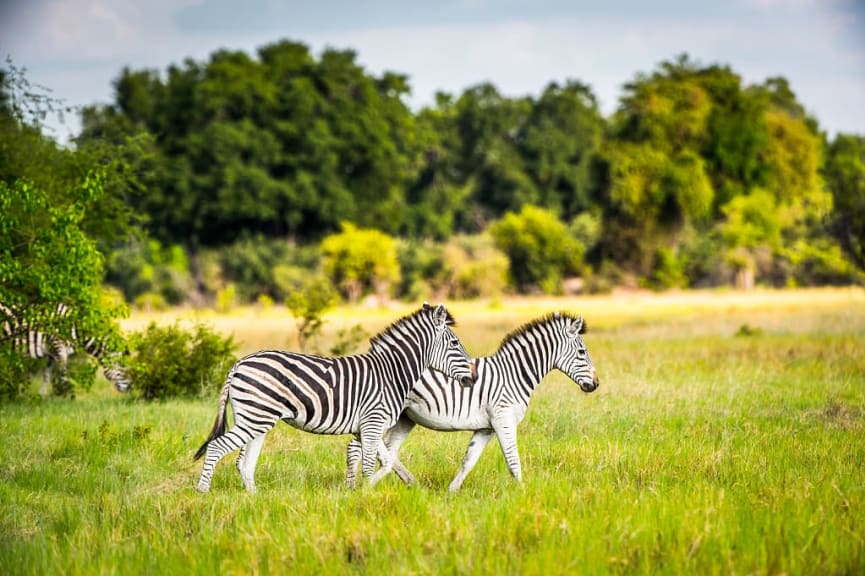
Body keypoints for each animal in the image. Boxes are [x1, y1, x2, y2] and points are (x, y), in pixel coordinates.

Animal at [0, 304, 132, 394]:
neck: (77, 329)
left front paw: (41, 396)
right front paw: (64, 397)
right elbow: (62, 374)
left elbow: (46, 375)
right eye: (123, 369)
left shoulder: (52, 353)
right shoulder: (58, 345)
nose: (130, 388)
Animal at [193, 302, 476, 496]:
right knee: (217, 447)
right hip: (255, 417)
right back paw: (203, 493)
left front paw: (360, 492)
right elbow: (370, 465)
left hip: (255, 418)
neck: (391, 373)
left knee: (244, 462)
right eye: (454, 343)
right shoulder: (373, 423)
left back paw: (255, 500)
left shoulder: (368, 427)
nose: (472, 379)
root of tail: (239, 363)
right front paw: (366, 496)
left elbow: (385, 462)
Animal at [342, 312, 592, 492]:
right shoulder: (503, 419)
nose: (596, 384)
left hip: (404, 417)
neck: (513, 374)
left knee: (387, 449)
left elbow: (469, 460)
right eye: (581, 352)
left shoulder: (486, 427)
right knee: (359, 446)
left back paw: (411, 484)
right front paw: (523, 495)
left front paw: (451, 492)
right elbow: (513, 460)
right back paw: (354, 487)